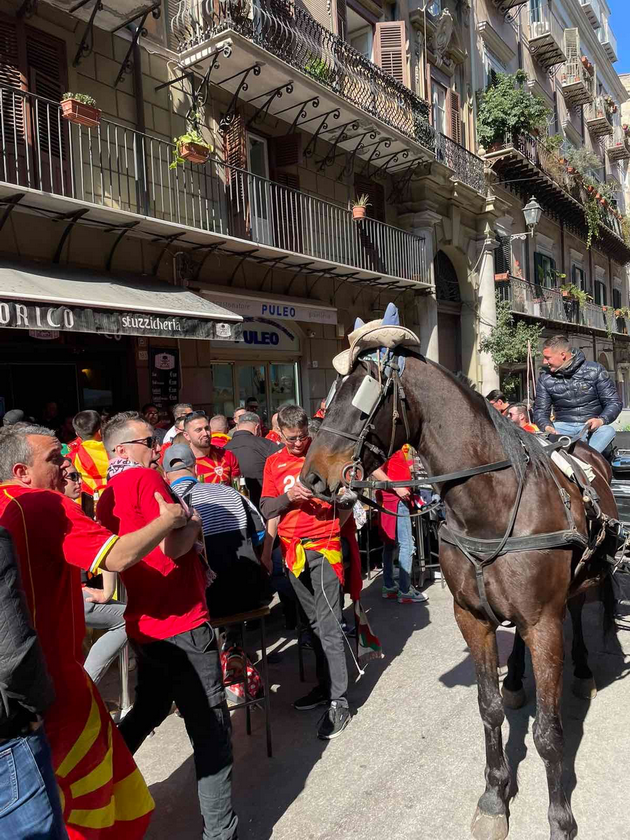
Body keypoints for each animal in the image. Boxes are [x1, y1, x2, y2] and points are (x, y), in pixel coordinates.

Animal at [302, 352, 624, 840]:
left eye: (364, 398)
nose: (312, 476)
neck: (493, 504)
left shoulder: (543, 623)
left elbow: (548, 733)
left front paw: (560, 818)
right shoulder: (472, 617)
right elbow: (489, 709)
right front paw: (494, 797)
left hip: (581, 582)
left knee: (582, 605)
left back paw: (585, 668)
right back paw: (516, 678)